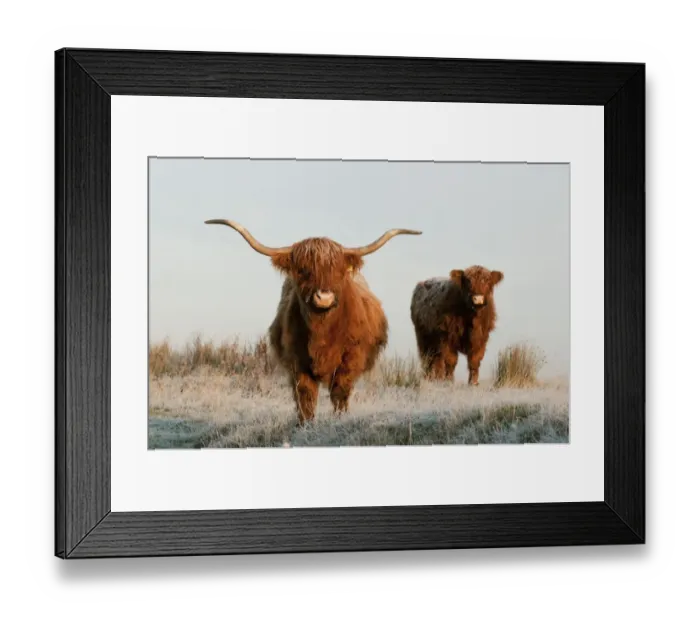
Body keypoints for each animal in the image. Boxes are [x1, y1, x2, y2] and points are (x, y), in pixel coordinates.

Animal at [205, 219, 422, 424]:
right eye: (303, 270)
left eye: (338, 271)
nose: (324, 297)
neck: (322, 332)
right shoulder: (296, 360)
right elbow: (305, 394)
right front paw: (305, 424)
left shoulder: (352, 356)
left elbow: (340, 391)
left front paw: (339, 419)